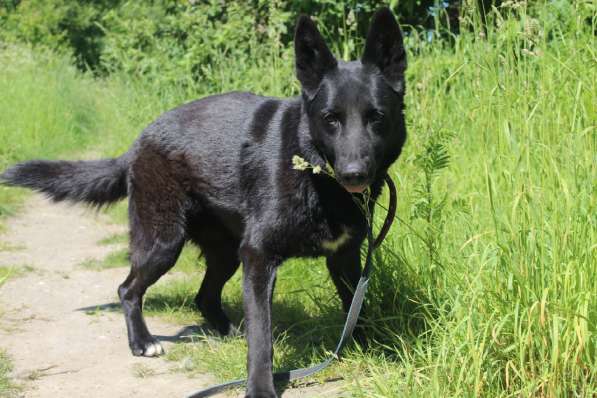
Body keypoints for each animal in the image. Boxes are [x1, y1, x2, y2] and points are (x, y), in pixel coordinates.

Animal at [1, 7, 406, 396]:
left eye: (376, 117)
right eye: (330, 119)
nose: (354, 174)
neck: (310, 167)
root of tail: (137, 143)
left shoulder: (344, 258)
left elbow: (356, 309)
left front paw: (363, 349)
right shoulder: (259, 258)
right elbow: (262, 335)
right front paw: (260, 387)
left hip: (226, 252)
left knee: (204, 296)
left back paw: (226, 332)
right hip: (163, 243)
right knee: (128, 289)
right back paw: (142, 342)